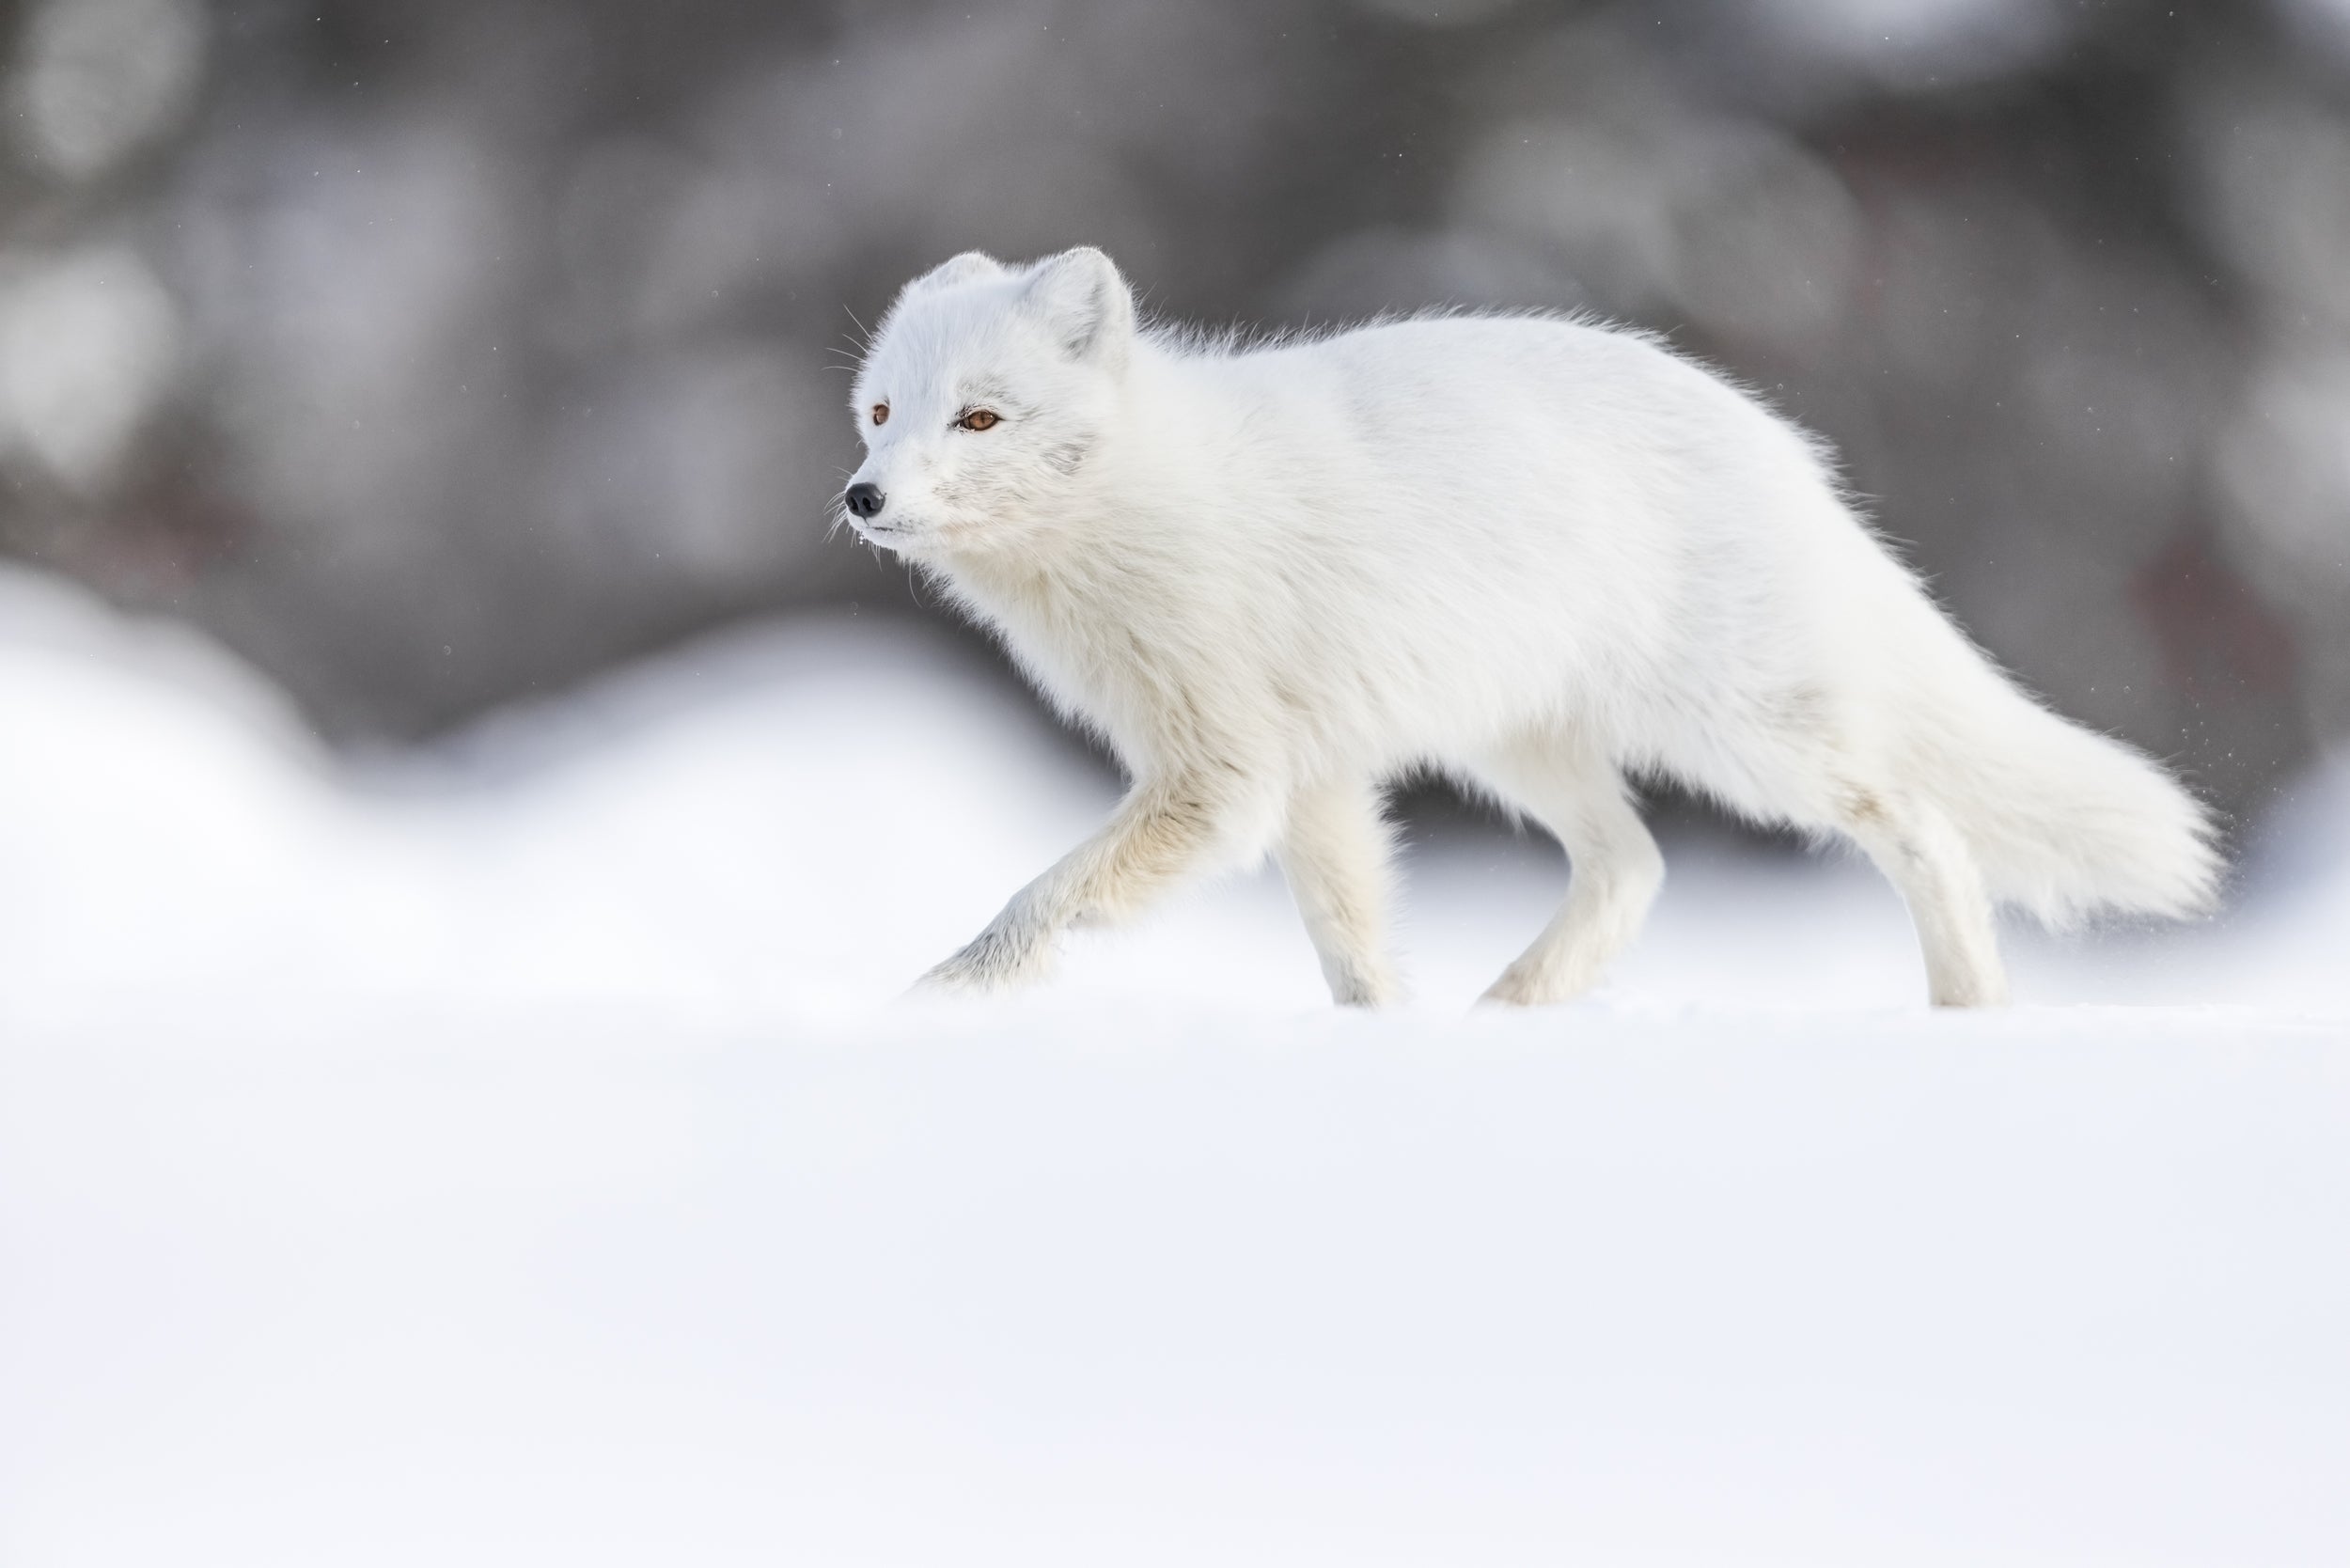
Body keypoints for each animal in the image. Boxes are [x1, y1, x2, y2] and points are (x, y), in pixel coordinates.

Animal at [839, 246, 2218, 1009]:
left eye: (979, 419)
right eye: (881, 413)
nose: (861, 499)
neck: (1138, 504)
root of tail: (1780, 446)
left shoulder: (1220, 781)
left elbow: (1033, 908)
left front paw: (925, 1008)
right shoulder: (1310, 779)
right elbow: (1354, 954)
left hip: (1748, 740)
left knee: (1923, 828)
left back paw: (1968, 1008)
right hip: (1511, 743)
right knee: (1635, 864)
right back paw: (1510, 1010)